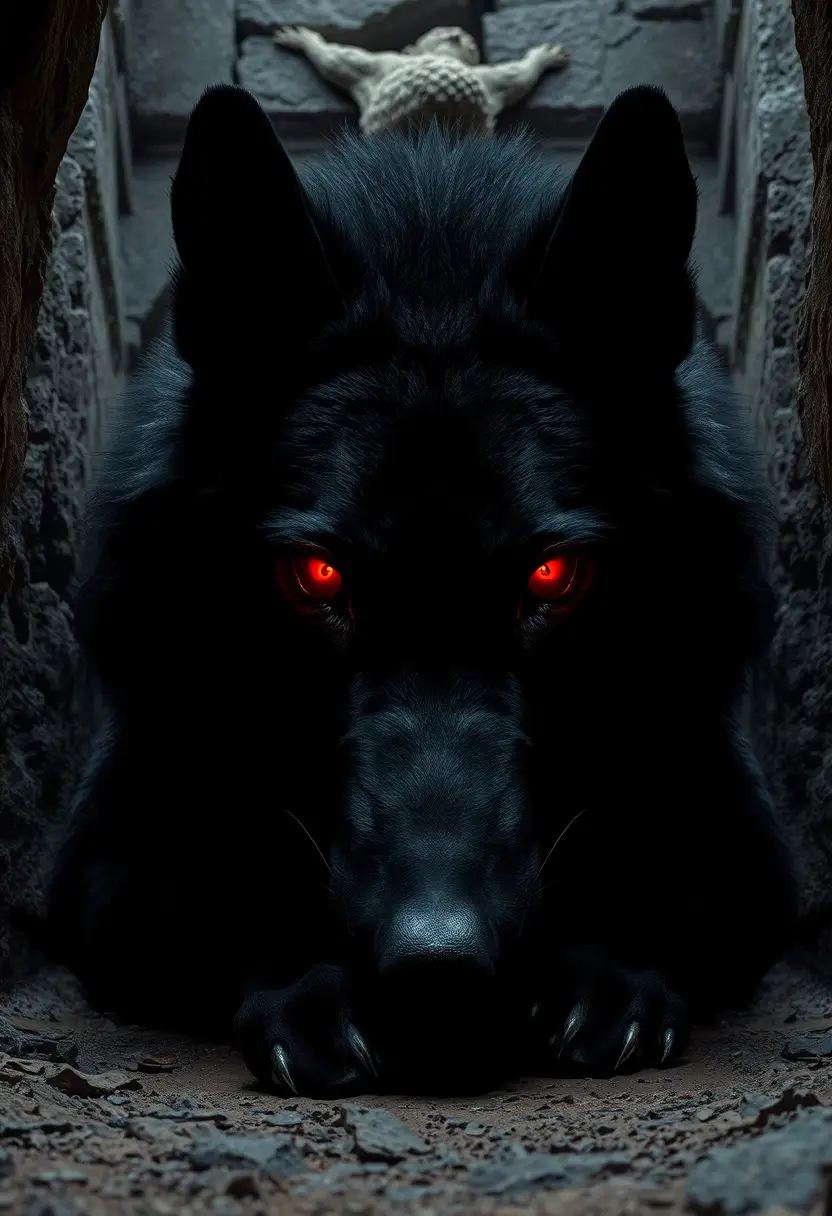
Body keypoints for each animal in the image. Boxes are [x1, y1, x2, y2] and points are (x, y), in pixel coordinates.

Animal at [46, 83, 797, 1097]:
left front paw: (609, 977)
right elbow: (210, 885)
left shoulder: (741, 830)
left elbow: (681, 878)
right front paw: (308, 990)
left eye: (554, 575)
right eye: (316, 575)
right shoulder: (110, 850)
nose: (438, 962)